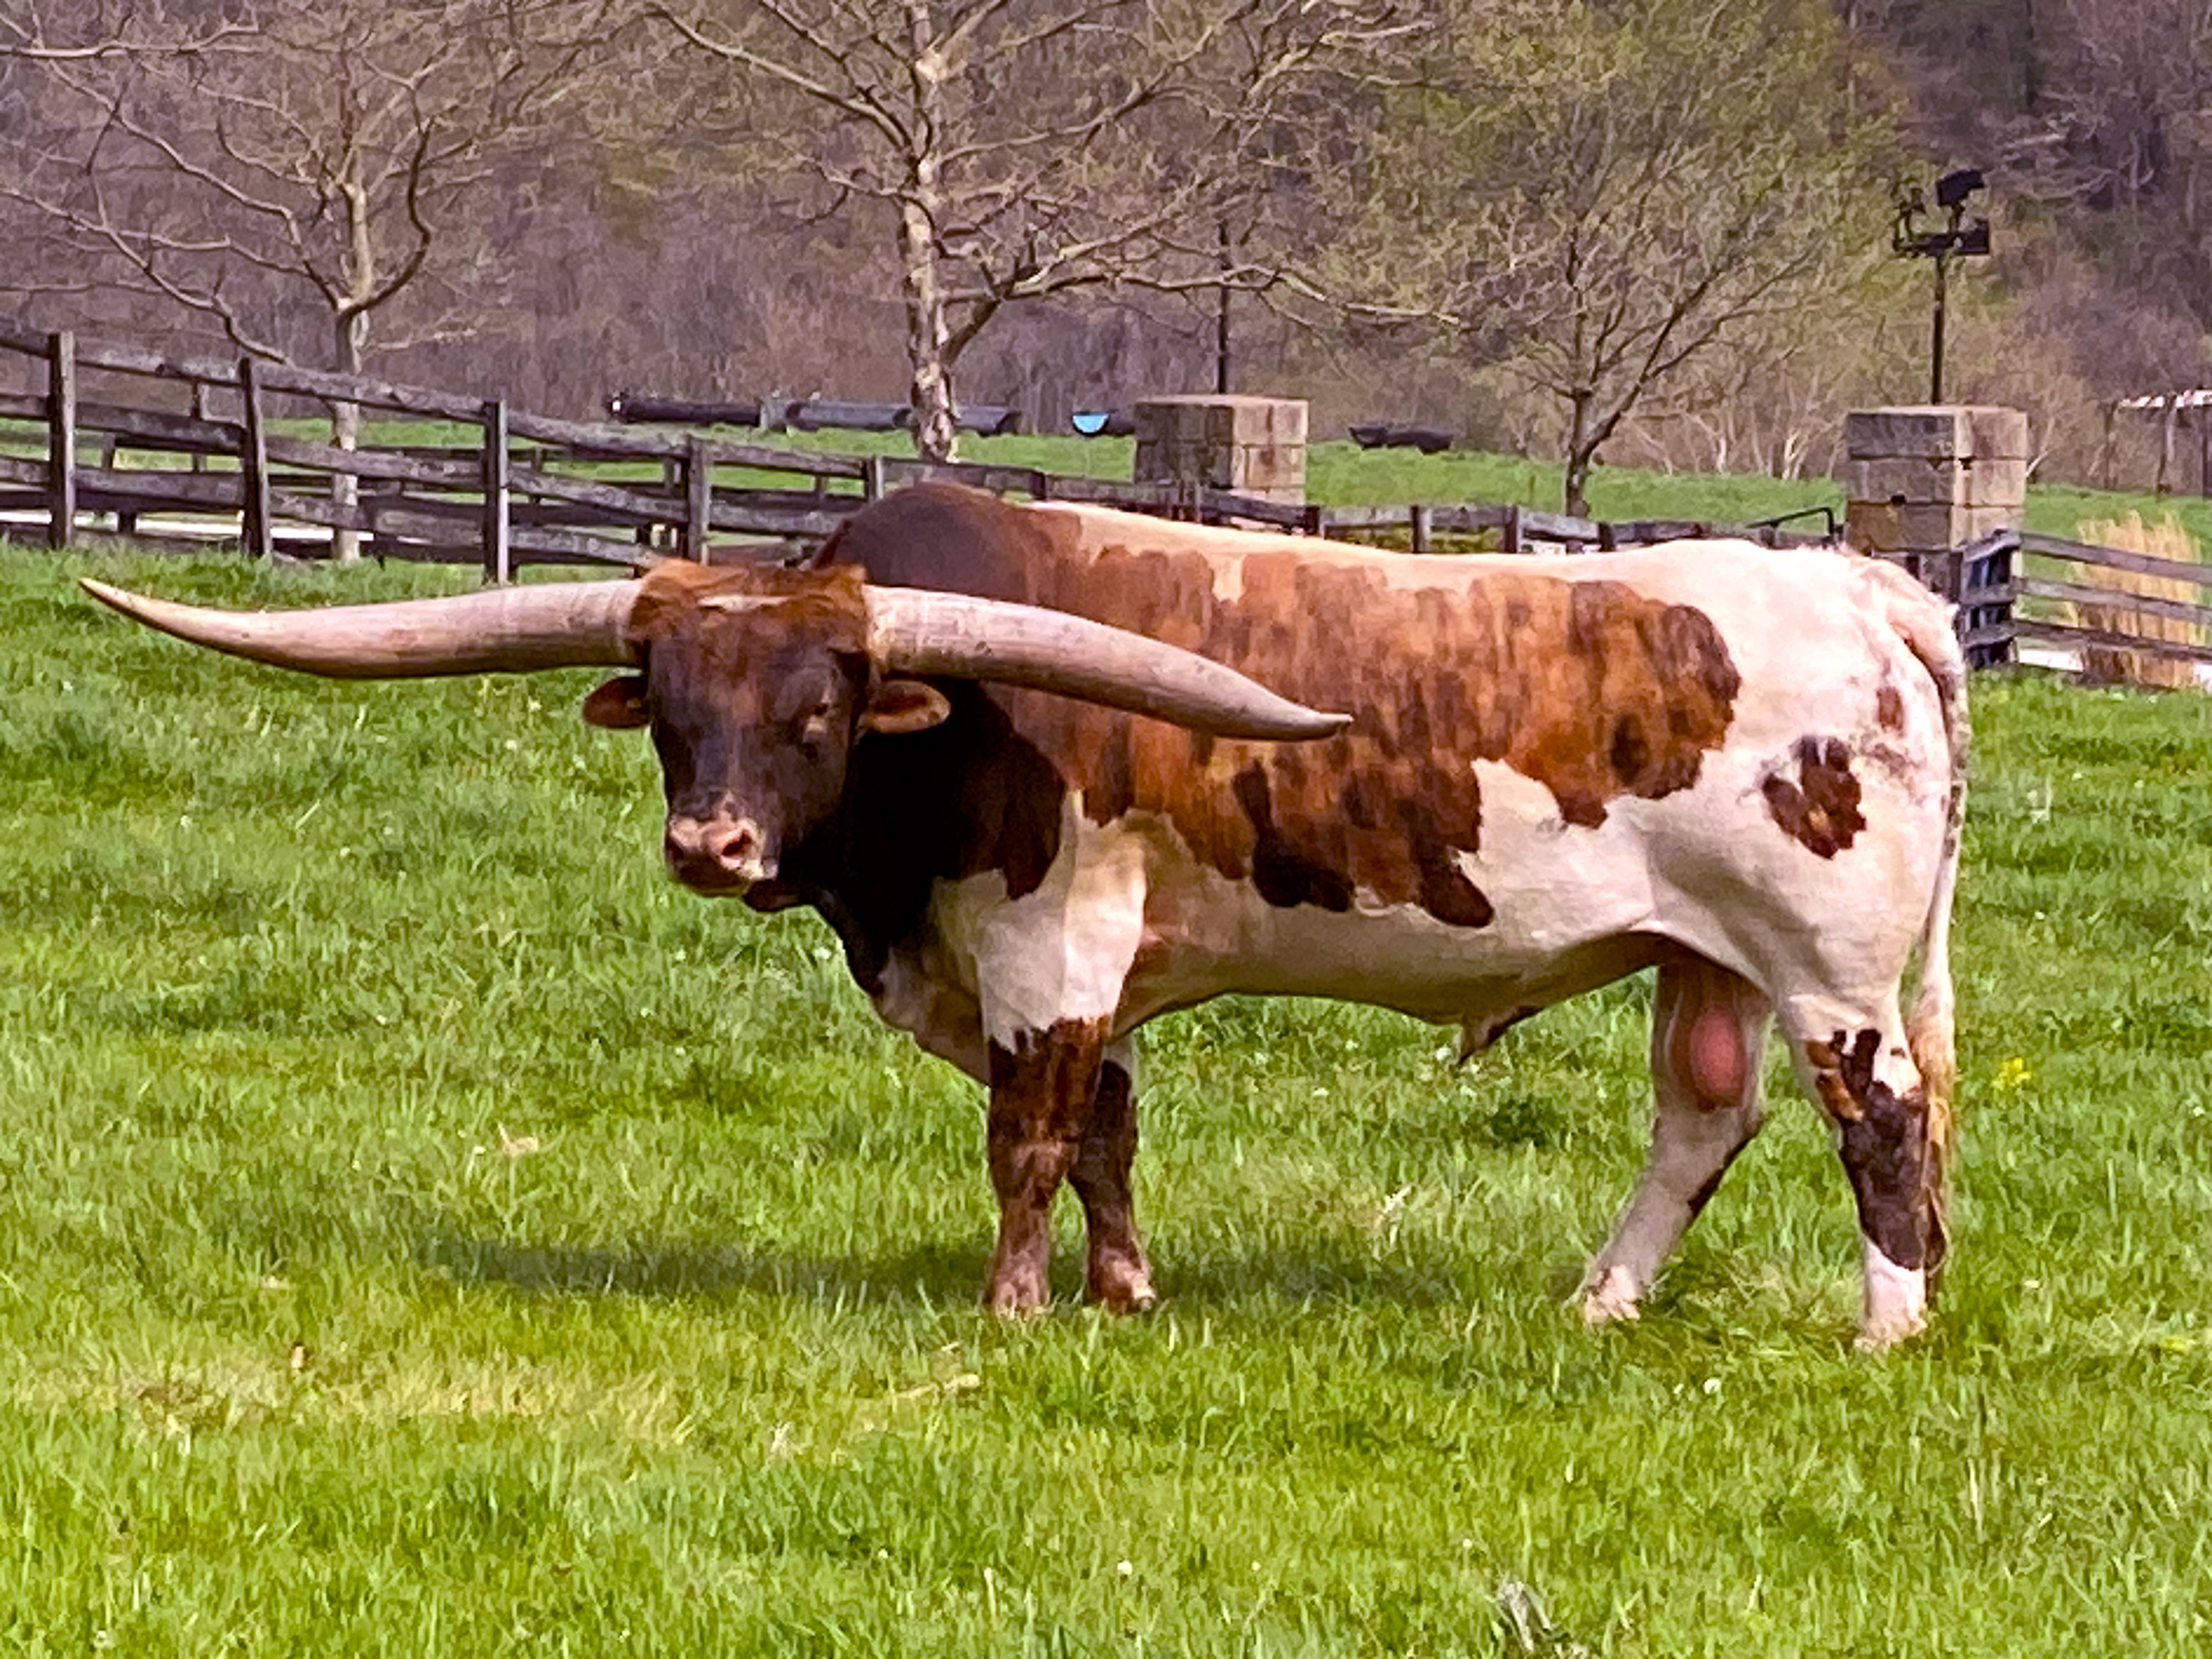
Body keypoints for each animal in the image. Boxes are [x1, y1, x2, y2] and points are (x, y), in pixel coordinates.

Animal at [84, 482, 1966, 1348]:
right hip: (1704, 964)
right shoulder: (1097, 974)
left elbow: (1032, 1136)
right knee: (1702, 1118)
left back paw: (1886, 1326)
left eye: (819, 715)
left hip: (1831, 967)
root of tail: (1862, 584)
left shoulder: (1045, 949)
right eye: (674, 707)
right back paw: (1602, 1303)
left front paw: (1014, 1310)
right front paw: (1126, 1294)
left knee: (1881, 1125)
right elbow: (1114, 1129)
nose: (710, 841)